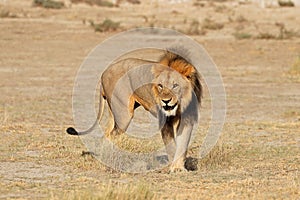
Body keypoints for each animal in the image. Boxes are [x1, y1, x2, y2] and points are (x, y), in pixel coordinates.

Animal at [67, 48, 203, 172]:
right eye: (160, 86)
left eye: (175, 86)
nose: (165, 101)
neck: (179, 106)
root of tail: (104, 73)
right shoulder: (165, 122)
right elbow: (172, 146)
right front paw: (173, 166)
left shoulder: (187, 119)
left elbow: (183, 144)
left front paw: (179, 168)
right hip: (124, 115)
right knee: (110, 135)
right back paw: (109, 160)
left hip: (114, 112)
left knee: (106, 134)